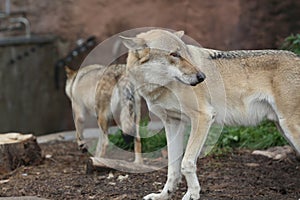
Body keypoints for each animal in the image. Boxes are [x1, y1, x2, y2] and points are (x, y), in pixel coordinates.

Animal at [120, 28, 298, 199]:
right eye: (174, 54)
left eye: (185, 54)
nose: (202, 77)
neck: (162, 87)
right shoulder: (172, 123)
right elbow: (173, 168)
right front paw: (163, 195)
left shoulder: (203, 117)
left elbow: (186, 163)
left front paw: (192, 194)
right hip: (284, 129)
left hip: (290, 129)